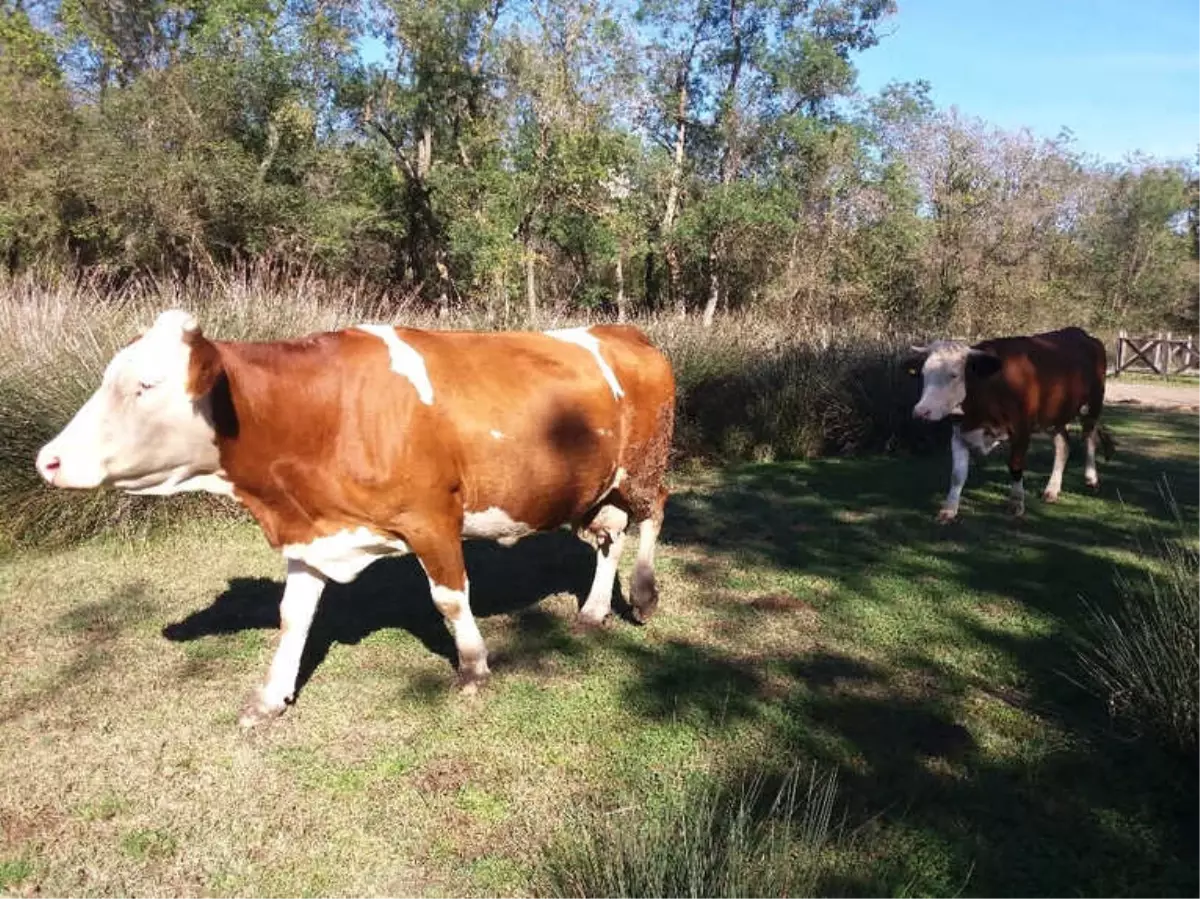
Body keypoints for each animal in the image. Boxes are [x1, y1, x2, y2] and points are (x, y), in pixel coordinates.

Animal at [35, 309, 676, 720]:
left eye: (145, 386)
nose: (48, 460)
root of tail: (620, 329)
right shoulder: (311, 533)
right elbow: (293, 616)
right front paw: (271, 697)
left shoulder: (431, 517)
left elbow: (450, 600)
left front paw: (472, 668)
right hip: (596, 487)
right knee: (610, 535)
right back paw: (592, 611)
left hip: (643, 468)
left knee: (654, 515)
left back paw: (642, 596)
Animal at [907, 324, 1113, 518]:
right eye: (923, 374)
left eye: (954, 375)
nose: (921, 412)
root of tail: (1084, 335)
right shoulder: (960, 432)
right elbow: (957, 475)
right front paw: (949, 510)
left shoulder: (1021, 429)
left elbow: (1015, 466)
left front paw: (1016, 503)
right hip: (1054, 416)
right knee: (1063, 445)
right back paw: (1052, 490)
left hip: (1093, 404)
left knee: (1089, 437)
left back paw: (1091, 478)